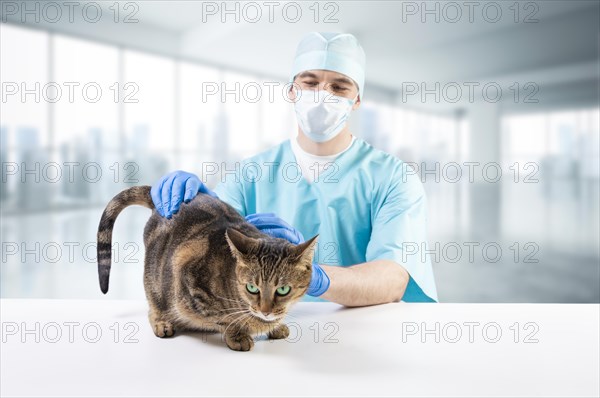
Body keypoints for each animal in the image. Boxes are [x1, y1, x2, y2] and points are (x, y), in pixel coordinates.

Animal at [95, 185, 318, 350]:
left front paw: (276, 326)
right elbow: (224, 319)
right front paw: (238, 335)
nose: (265, 311)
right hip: (156, 281)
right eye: (252, 288)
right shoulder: (188, 277)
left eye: (283, 290)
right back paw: (162, 322)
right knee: (153, 306)